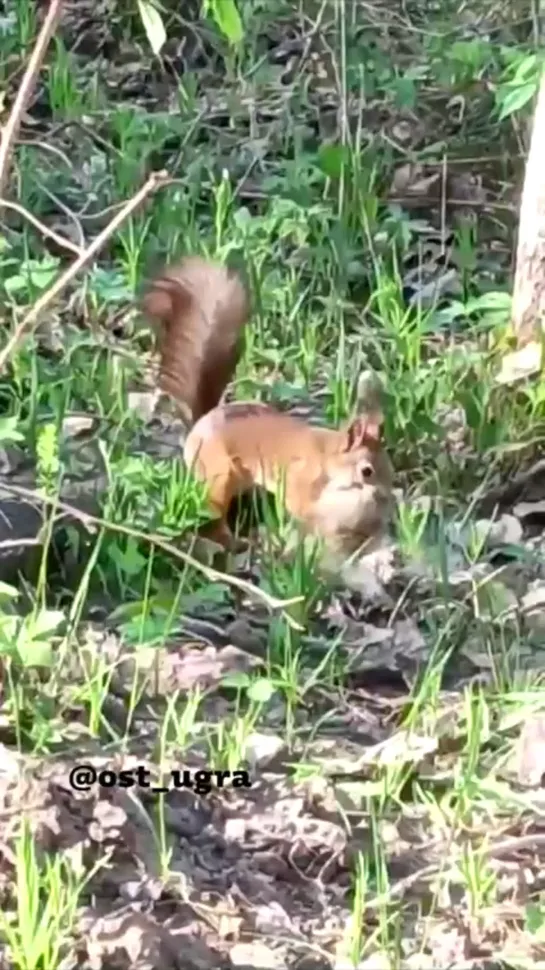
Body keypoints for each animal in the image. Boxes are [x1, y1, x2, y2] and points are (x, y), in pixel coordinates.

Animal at [142, 255, 394, 552]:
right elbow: (301, 506)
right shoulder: (298, 479)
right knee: (213, 511)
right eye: (367, 471)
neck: (328, 457)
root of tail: (199, 423)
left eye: (389, 465)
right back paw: (229, 539)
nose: (388, 497)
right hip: (218, 474)